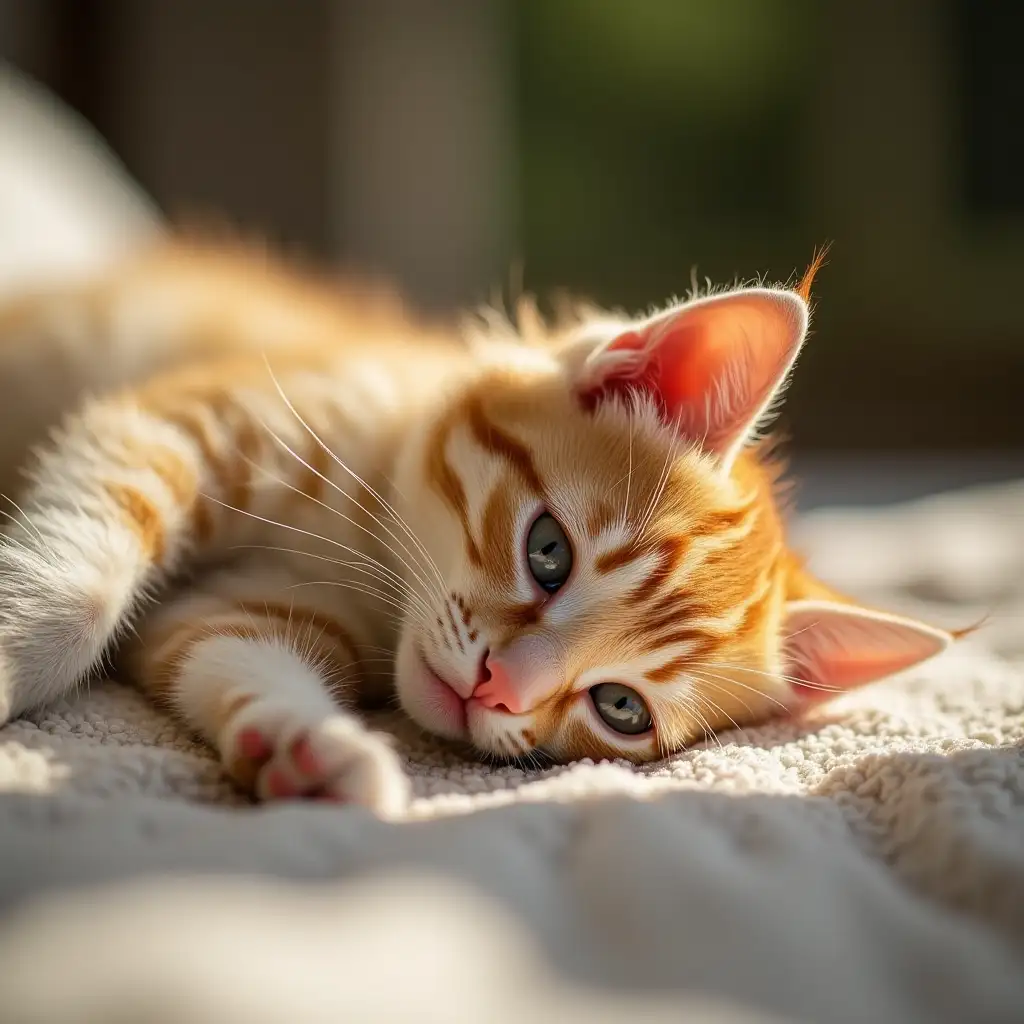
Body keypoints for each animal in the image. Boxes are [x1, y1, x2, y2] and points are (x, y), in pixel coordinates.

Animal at [0, 241, 950, 815]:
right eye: (548, 552)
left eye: (620, 708)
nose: (498, 690)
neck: (373, 541)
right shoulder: (191, 418)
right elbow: (83, 595)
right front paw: (15, 657)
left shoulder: (247, 604)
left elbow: (224, 647)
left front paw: (311, 748)